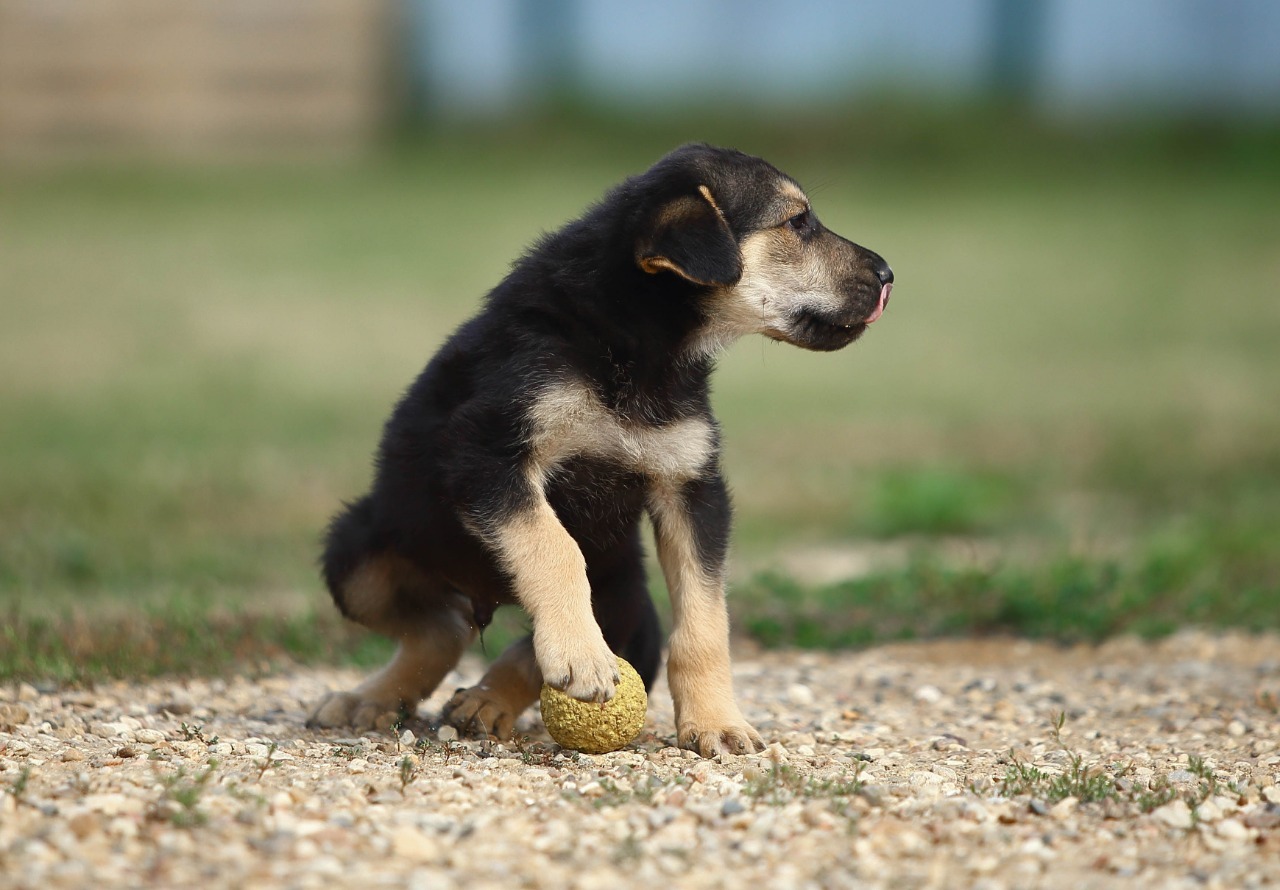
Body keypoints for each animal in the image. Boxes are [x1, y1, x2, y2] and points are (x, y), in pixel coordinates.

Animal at [308, 145, 890, 758]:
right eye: (797, 222)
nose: (888, 275)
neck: (639, 342)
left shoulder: (693, 488)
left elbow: (705, 618)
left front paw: (715, 721)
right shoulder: (485, 455)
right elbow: (553, 546)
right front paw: (580, 655)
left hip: (627, 597)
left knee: (482, 636)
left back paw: (487, 701)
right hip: (359, 550)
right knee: (441, 626)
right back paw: (370, 699)